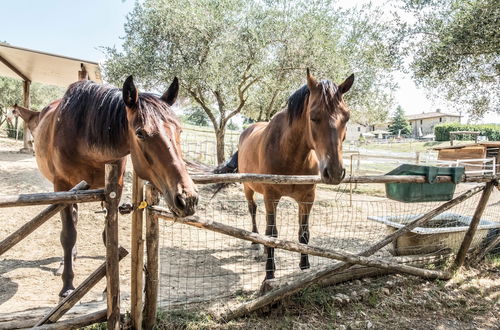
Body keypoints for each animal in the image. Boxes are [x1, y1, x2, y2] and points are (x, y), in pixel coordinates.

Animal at [32, 75, 197, 296]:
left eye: (180, 130)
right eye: (140, 133)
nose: (188, 199)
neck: (84, 136)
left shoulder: (113, 189)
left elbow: (108, 236)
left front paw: (108, 283)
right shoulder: (62, 187)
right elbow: (68, 235)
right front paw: (68, 286)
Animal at [220, 70, 356, 282]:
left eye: (347, 117)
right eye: (314, 117)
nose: (334, 172)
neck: (290, 155)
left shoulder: (307, 198)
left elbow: (303, 233)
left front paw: (305, 268)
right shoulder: (271, 197)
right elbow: (272, 234)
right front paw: (269, 273)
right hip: (247, 187)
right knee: (252, 211)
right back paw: (255, 242)